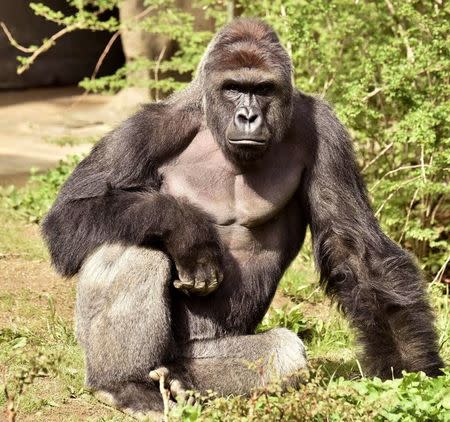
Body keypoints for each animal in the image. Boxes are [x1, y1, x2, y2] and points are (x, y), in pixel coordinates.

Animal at [42, 19, 442, 416]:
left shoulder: (327, 133)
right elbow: (68, 214)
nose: (248, 116)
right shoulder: (148, 127)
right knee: (131, 245)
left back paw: (180, 380)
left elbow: (354, 248)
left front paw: (410, 368)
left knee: (282, 353)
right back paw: (124, 384)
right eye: (233, 88)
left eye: (262, 89)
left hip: (203, 352)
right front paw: (186, 230)